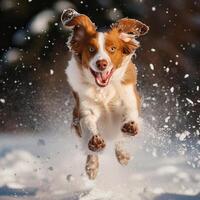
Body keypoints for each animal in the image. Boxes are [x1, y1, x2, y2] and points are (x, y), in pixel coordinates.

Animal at [61, 8, 148, 180]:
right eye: (91, 49)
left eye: (112, 49)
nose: (102, 63)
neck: (103, 90)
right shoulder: (83, 108)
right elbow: (89, 123)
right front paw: (95, 141)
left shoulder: (129, 97)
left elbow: (130, 111)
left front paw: (130, 125)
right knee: (91, 151)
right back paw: (92, 166)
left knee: (119, 139)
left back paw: (122, 155)